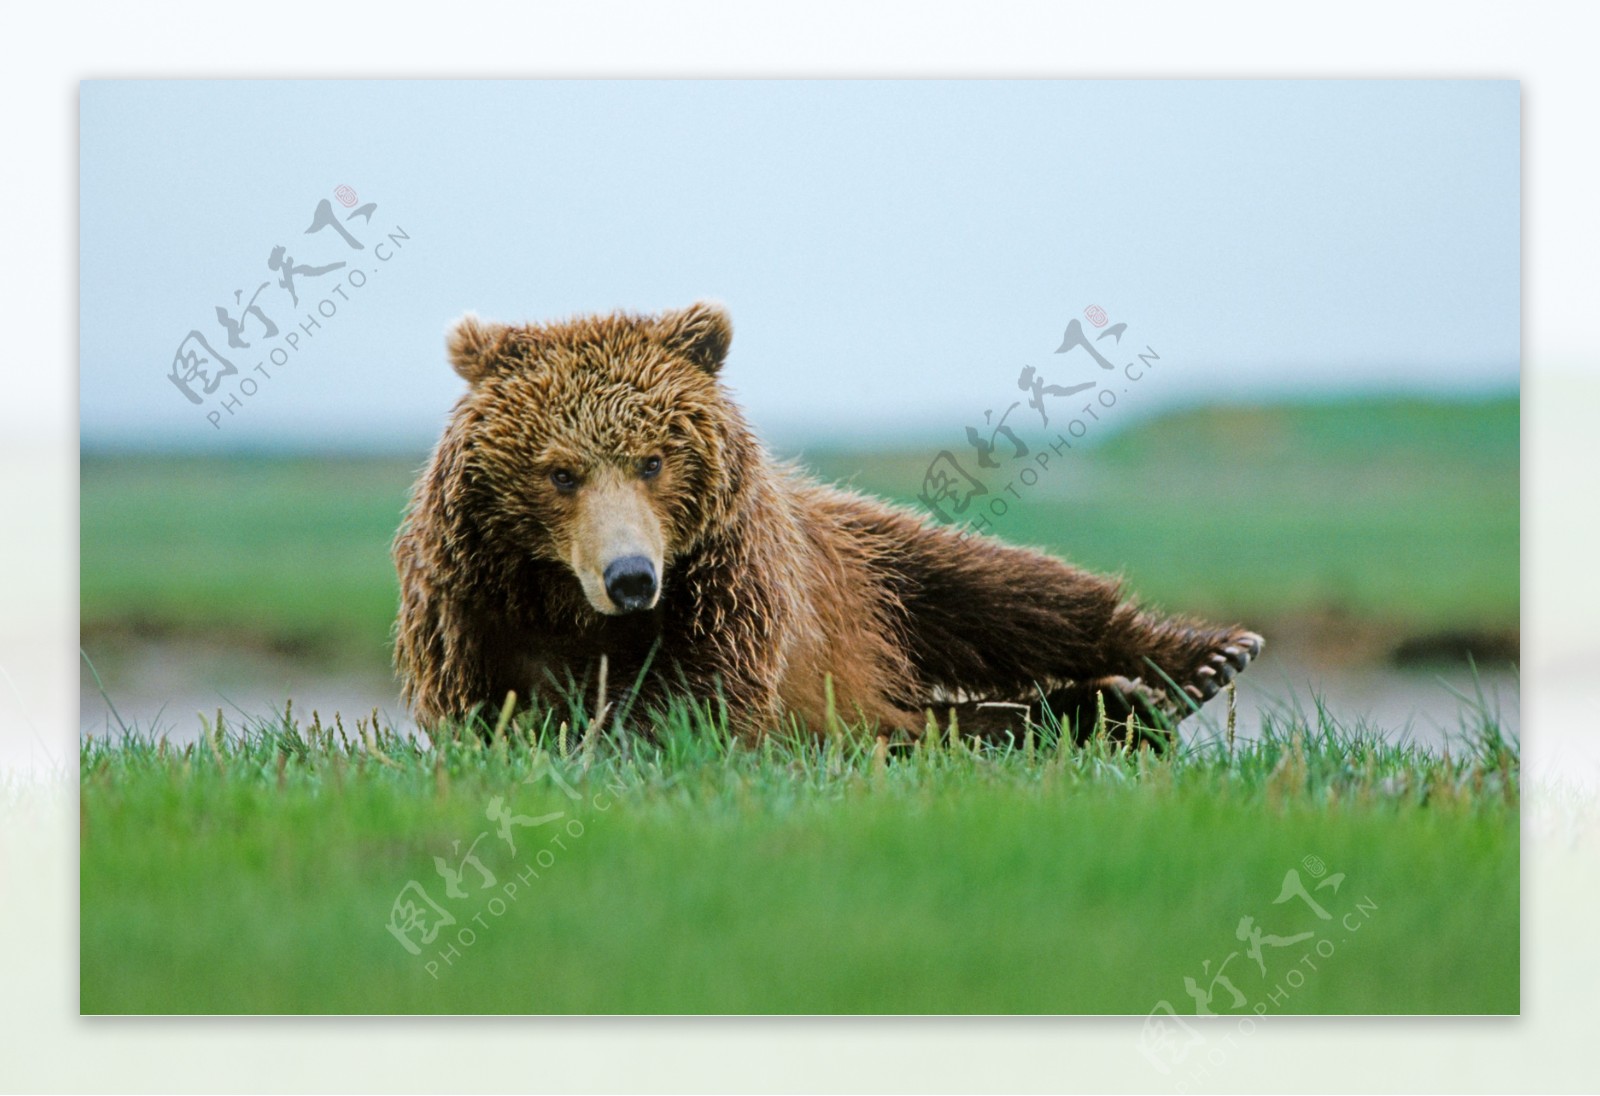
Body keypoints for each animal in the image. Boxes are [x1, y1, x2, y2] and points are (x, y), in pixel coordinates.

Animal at [390, 299, 1260, 742]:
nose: (632, 576)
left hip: (866, 565)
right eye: (560, 472)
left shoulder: (732, 581)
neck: (573, 605)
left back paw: (1197, 663)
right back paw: (1101, 710)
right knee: (952, 718)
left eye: (653, 461)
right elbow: (505, 717)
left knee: (1004, 596)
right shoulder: (474, 609)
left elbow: (704, 704)